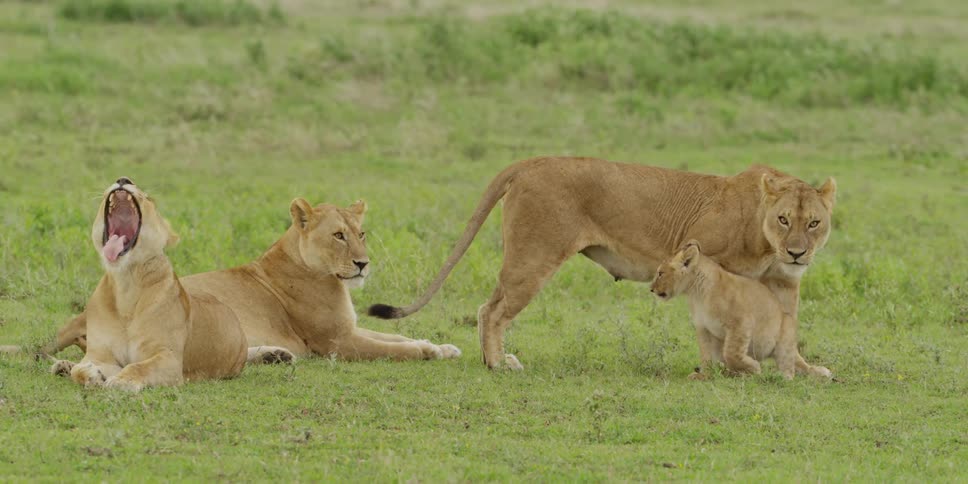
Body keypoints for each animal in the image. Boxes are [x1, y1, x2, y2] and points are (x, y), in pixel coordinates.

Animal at [46, 197, 461, 363]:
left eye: (362, 233)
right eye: (338, 236)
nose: (363, 264)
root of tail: (80, 318)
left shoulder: (349, 328)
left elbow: (395, 337)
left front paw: (440, 346)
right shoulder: (335, 342)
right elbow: (392, 348)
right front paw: (426, 352)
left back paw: (274, 355)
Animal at [55, 177, 268, 392]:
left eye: (149, 198)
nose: (123, 180)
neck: (125, 283)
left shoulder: (170, 359)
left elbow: (139, 367)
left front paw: (122, 381)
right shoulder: (101, 354)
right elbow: (78, 370)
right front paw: (92, 375)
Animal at [651, 241, 832, 380]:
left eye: (660, 273)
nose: (651, 289)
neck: (696, 293)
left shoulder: (741, 322)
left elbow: (731, 352)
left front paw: (753, 368)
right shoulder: (704, 328)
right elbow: (706, 354)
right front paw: (704, 375)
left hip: (786, 333)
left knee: (789, 368)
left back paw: (778, 376)